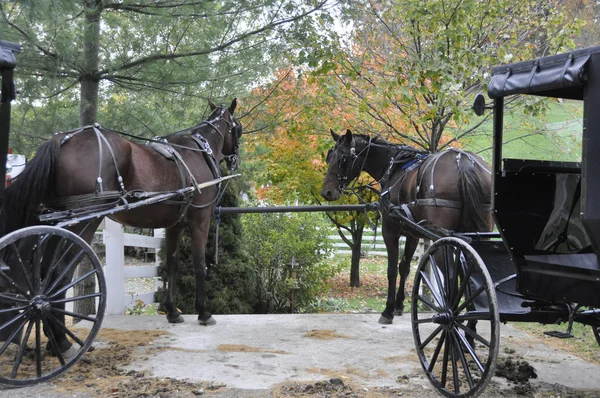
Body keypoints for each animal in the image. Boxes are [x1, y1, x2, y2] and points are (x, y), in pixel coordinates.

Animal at [0, 99, 244, 354]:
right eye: (238, 127)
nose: (236, 157)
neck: (199, 152)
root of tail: (60, 140)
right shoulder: (200, 220)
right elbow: (199, 265)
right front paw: (203, 312)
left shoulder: (174, 226)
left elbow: (172, 265)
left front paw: (172, 311)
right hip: (84, 221)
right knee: (59, 273)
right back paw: (62, 340)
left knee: (44, 270)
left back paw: (52, 338)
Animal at [322, 129, 490, 324]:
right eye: (329, 156)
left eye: (342, 159)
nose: (326, 192)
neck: (393, 167)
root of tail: (463, 163)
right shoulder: (412, 233)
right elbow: (404, 267)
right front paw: (399, 305)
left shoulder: (389, 230)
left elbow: (392, 270)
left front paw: (388, 310)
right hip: (479, 232)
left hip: (441, 238)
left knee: (451, 276)